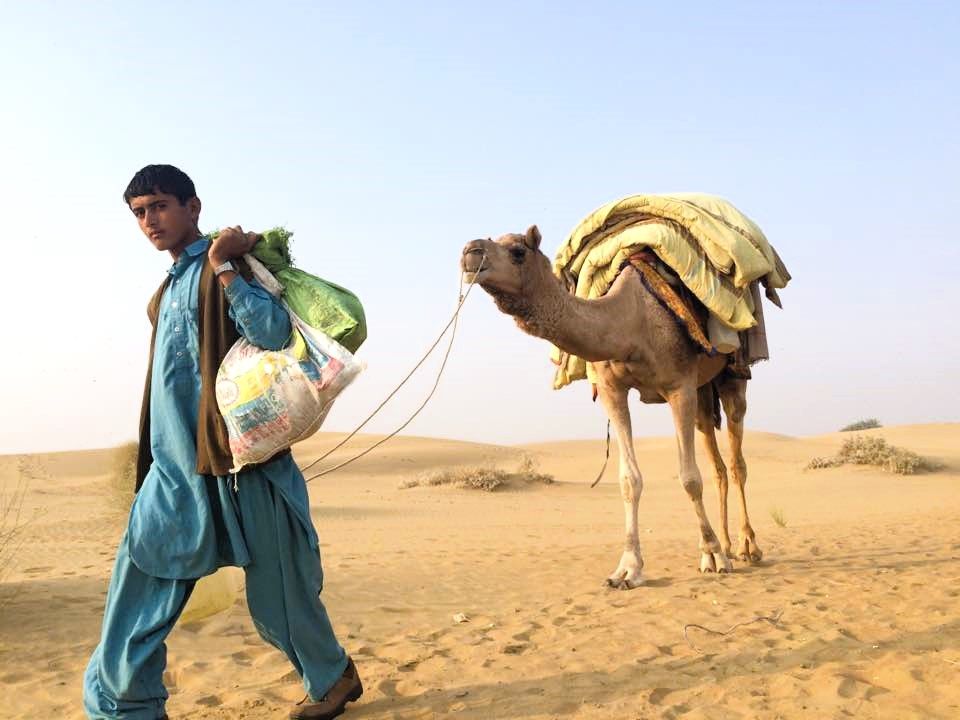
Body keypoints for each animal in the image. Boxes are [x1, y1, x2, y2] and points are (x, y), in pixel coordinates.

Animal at [462, 226, 760, 592]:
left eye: (518, 251)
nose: (470, 251)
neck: (630, 323)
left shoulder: (679, 387)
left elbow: (689, 477)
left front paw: (711, 555)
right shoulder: (611, 389)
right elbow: (629, 479)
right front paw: (627, 569)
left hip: (732, 374)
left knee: (736, 459)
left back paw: (747, 547)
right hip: (704, 389)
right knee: (716, 459)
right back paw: (729, 544)